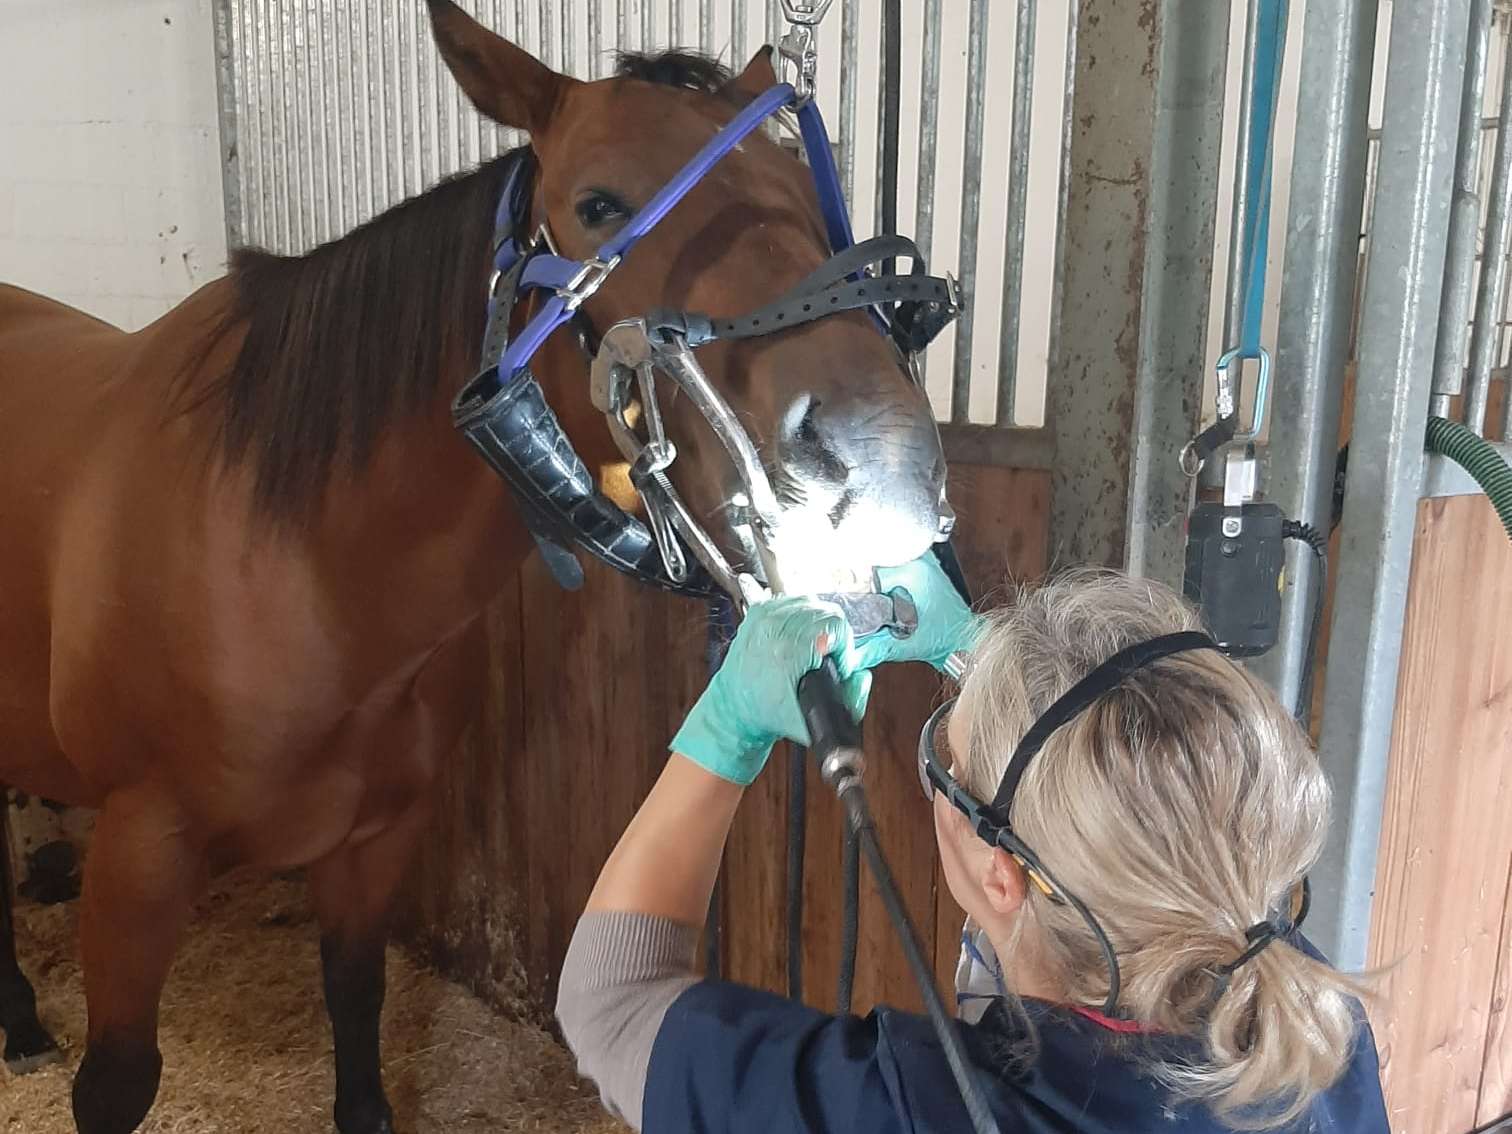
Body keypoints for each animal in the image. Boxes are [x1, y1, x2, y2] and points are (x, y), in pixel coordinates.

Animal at [0, 3, 952, 1132]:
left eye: (812, 197)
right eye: (596, 205)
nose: (880, 454)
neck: (301, 570)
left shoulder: (374, 842)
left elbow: (354, 998)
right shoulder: (137, 856)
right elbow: (116, 1082)